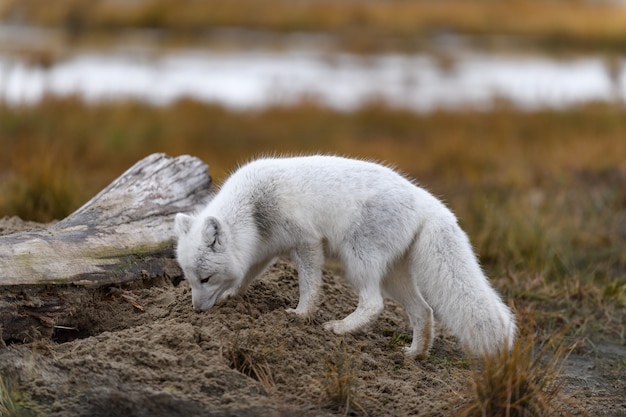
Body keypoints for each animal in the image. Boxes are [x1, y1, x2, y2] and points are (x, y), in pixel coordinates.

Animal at [173, 154, 516, 356]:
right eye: (190, 279)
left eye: (206, 278)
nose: (197, 311)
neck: (253, 210)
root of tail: (427, 200)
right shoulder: (261, 251)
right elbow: (246, 276)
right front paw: (232, 295)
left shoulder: (307, 242)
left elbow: (310, 286)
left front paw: (301, 315)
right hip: (393, 276)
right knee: (423, 311)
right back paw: (414, 355)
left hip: (357, 260)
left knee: (374, 304)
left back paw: (341, 328)